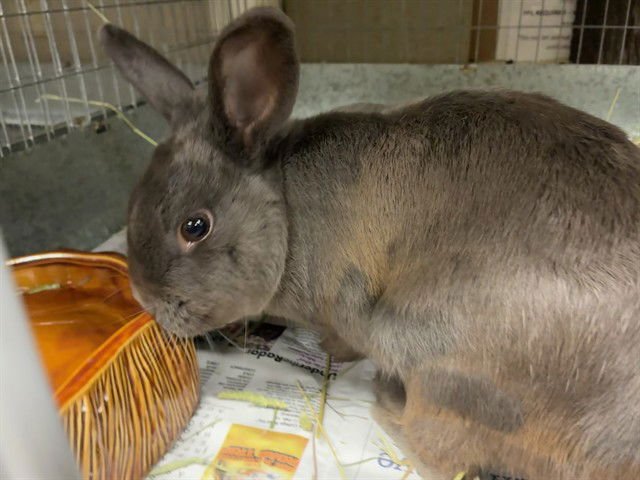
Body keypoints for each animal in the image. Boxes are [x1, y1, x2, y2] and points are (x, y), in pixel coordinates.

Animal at [100, 7, 640, 480]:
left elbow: (342, 341)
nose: (148, 301)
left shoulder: (349, 306)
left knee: (441, 451)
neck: (287, 212)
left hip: (437, 365)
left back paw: (386, 401)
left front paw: (328, 351)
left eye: (195, 227)